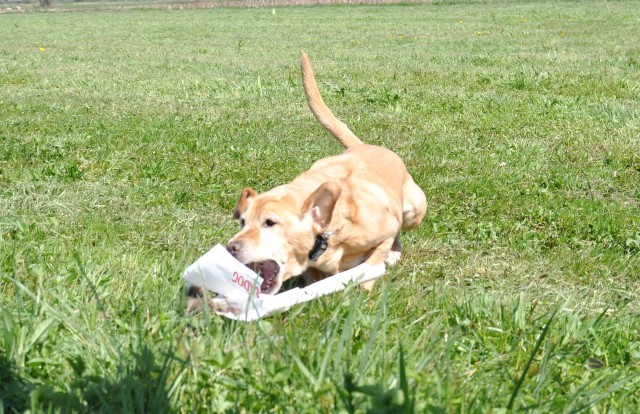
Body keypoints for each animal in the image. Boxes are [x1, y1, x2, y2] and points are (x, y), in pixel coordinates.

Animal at [225, 52, 424, 294]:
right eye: (242, 222)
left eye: (270, 222)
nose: (230, 247)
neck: (329, 231)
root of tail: (362, 145)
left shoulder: (384, 231)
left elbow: (373, 263)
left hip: (415, 210)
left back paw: (394, 253)